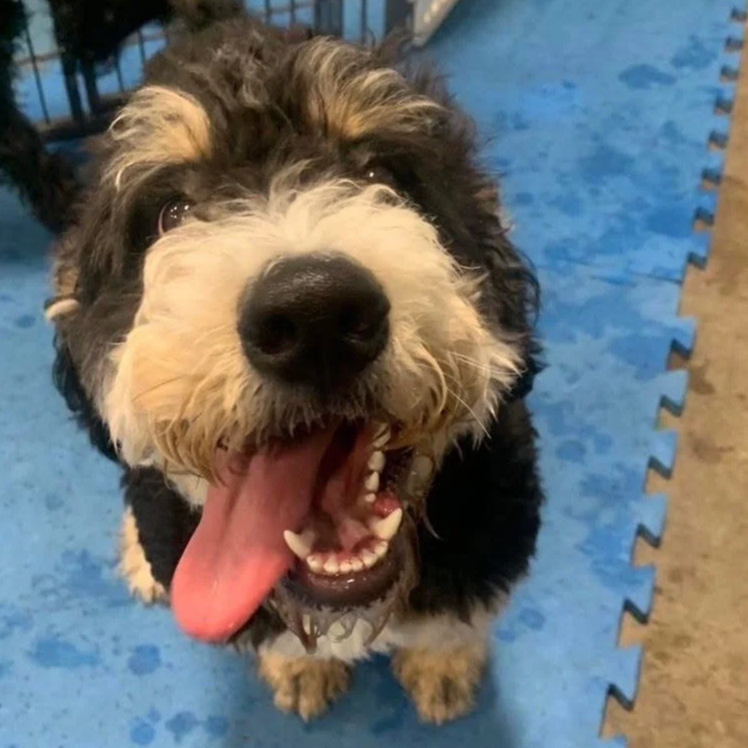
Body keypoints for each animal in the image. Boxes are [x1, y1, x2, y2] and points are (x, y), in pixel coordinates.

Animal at [45, 13, 544, 724]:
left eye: (383, 175)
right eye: (172, 212)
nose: (314, 315)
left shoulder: (495, 531)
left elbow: (452, 624)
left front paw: (442, 666)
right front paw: (301, 668)